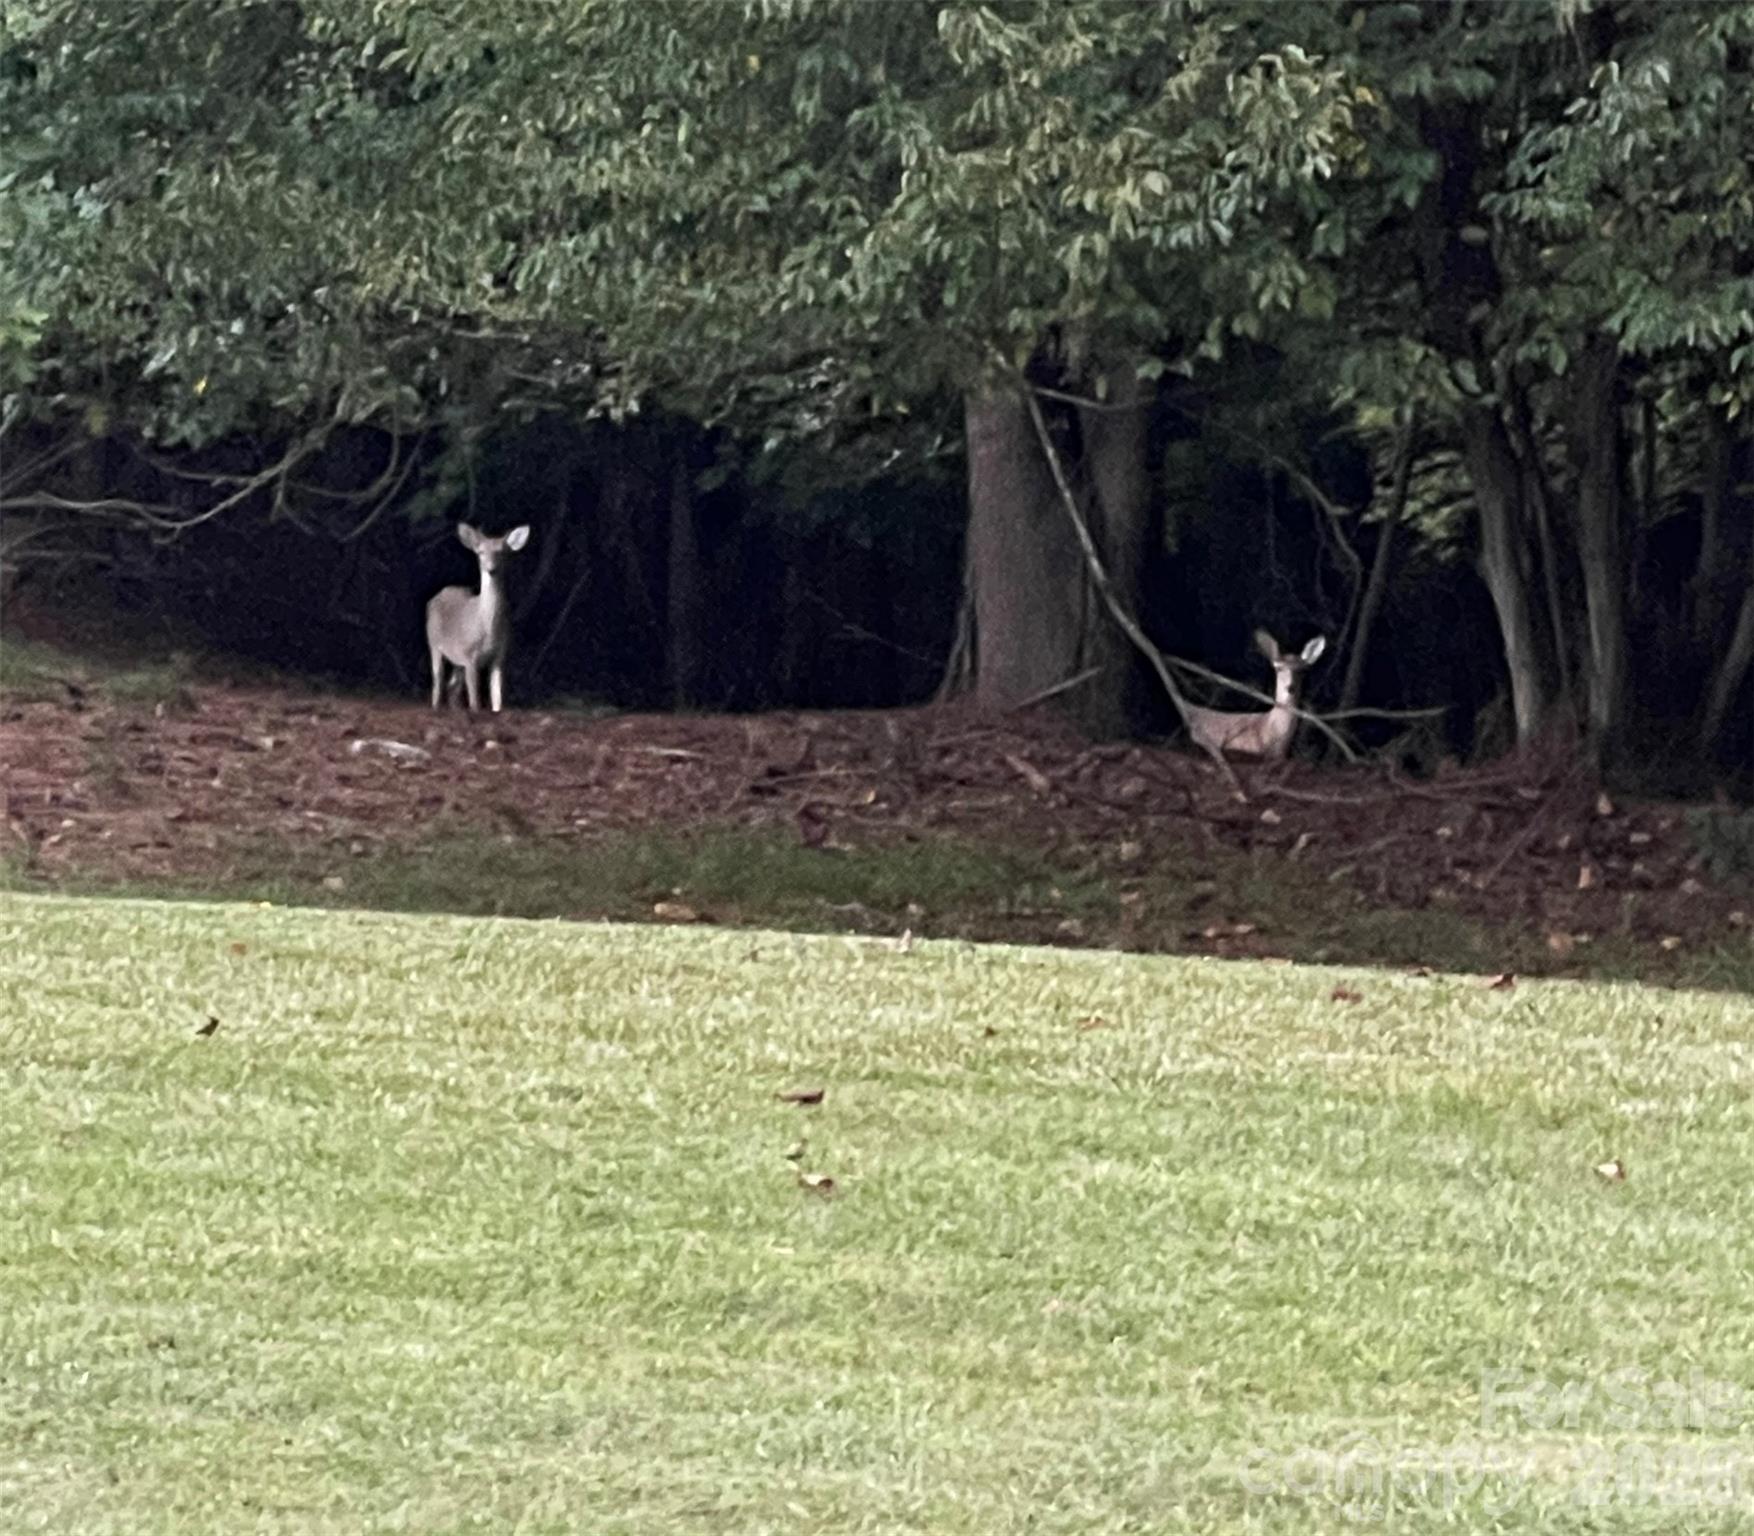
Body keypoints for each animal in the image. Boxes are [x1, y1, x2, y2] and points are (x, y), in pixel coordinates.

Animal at [425, 522, 531, 712]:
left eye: (502, 552)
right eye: (480, 552)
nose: (491, 569)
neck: (486, 630)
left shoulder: (499, 656)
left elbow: (497, 699)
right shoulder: (469, 655)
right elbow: (475, 702)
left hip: (456, 659)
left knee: (452, 687)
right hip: (434, 642)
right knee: (437, 681)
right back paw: (435, 708)